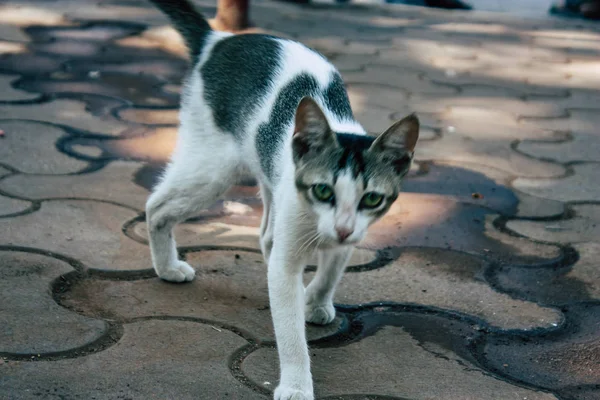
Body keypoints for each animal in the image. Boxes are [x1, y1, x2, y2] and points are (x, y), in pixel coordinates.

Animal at [145, 1, 418, 398]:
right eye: (323, 190)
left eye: (371, 199)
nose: (342, 228)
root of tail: (217, 40)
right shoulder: (292, 251)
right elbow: (291, 333)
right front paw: (296, 384)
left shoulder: (352, 235)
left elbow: (332, 268)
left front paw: (316, 300)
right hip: (214, 167)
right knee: (157, 206)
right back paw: (166, 267)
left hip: (267, 178)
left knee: (266, 236)